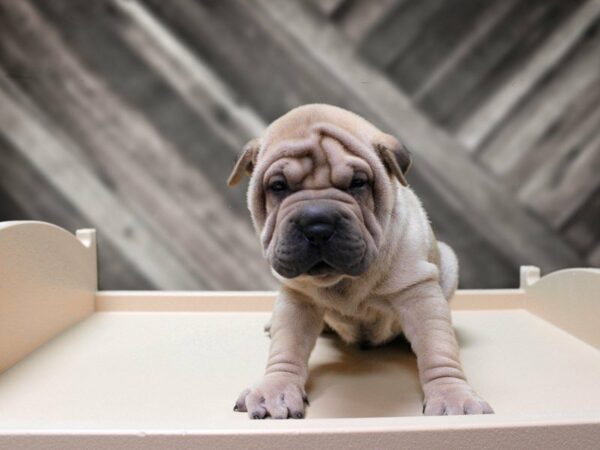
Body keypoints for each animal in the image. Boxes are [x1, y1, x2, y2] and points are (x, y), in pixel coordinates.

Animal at [227, 104, 490, 418]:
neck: (343, 279)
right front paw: (274, 390)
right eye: (278, 186)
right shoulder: (298, 300)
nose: (317, 223)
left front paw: (453, 396)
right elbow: (287, 348)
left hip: (448, 263)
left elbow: (438, 348)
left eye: (358, 183)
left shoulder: (418, 293)